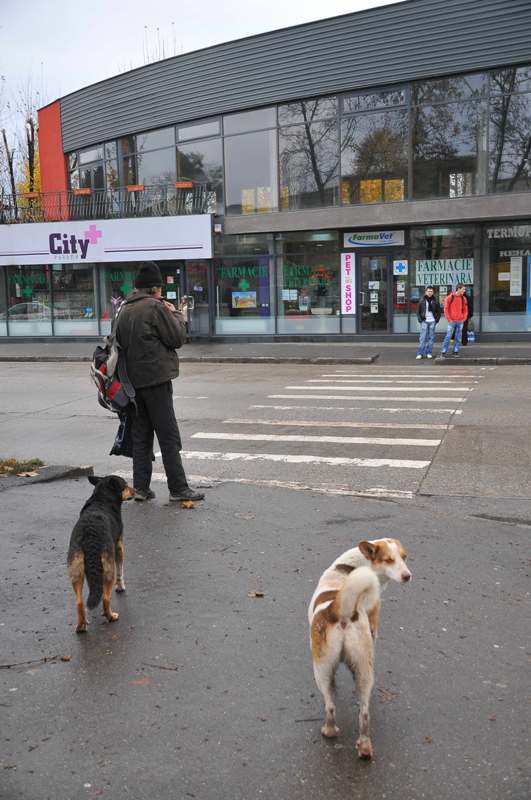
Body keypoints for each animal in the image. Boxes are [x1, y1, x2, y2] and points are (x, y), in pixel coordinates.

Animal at [67, 476, 134, 632]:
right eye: (125, 485)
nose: (135, 491)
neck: (101, 499)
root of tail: (90, 535)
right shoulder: (119, 546)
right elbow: (121, 572)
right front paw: (121, 587)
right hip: (108, 568)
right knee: (105, 597)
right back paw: (111, 616)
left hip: (76, 567)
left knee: (79, 602)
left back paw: (81, 625)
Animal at [308, 536, 412, 756]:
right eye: (389, 559)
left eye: (404, 557)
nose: (408, 576)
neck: (347, 569)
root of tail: (341, 611)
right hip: (364, 668)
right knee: (363, 713)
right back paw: (364, 746)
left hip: (320, 670)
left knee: (330, 705)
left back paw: (329, 730)